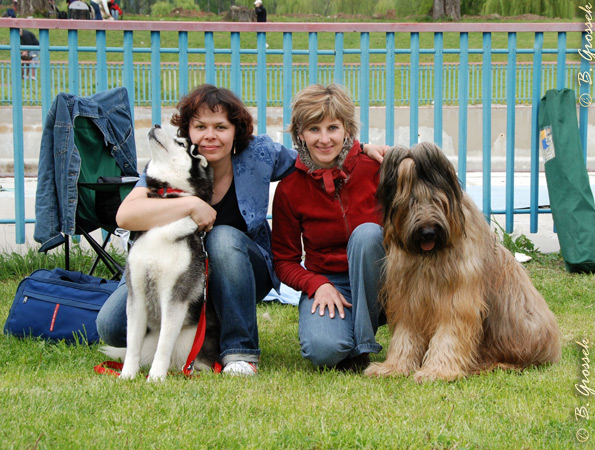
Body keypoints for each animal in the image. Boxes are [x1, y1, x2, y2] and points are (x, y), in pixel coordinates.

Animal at [102, 125, 219, 382]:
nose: (155, 125)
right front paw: (127, 375)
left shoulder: (175, 296)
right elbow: (132, 343)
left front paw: (155, 378)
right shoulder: (136, 294)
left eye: (182, 143)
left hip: (191, 340)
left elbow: (164, 344)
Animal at [365, 142, 561, 382]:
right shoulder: (409, 297)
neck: (430, 257)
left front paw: (436, 371)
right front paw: (393, 367)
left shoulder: (458, 296)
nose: (428, 232)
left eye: (437, 201)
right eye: (411, 203)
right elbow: (405, 335)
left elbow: (449, 333)